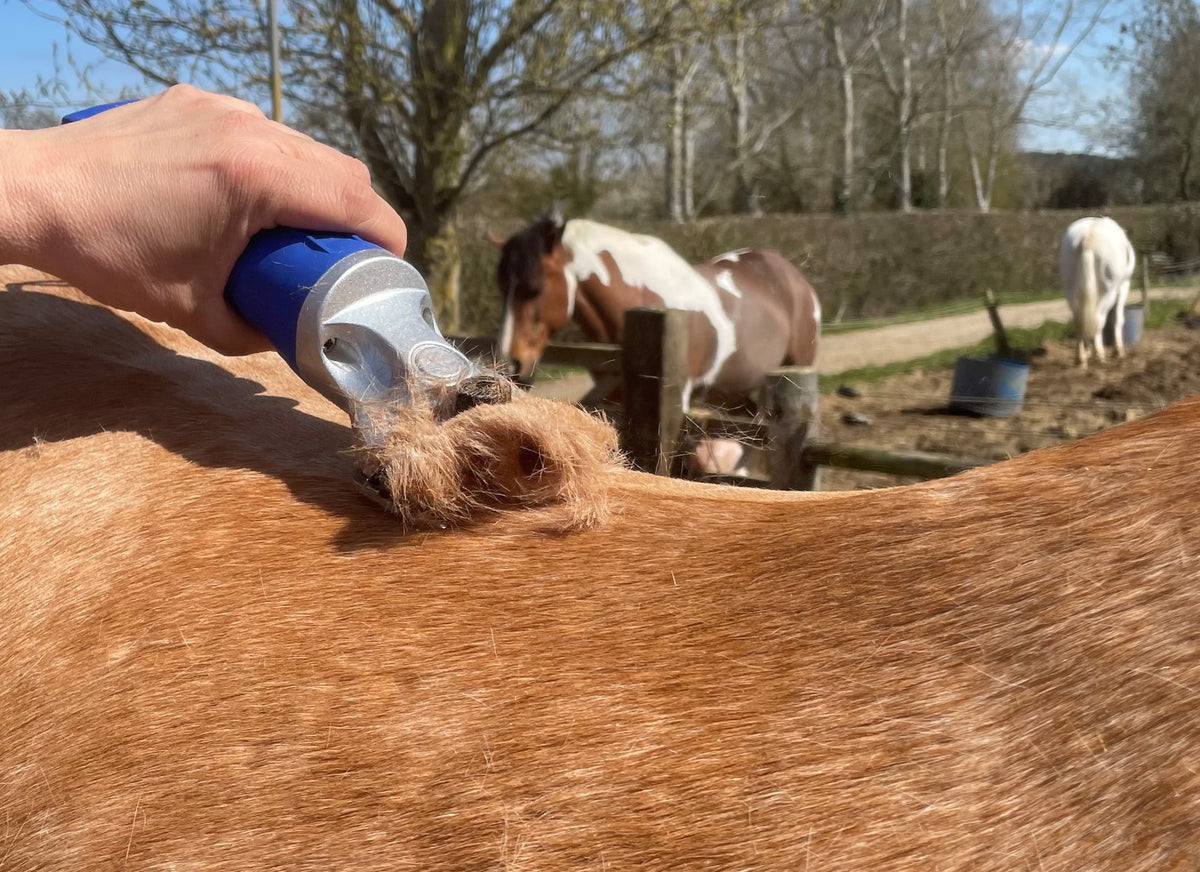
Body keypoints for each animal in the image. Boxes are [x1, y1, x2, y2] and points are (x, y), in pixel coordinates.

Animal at [1059, 216, 1137, 367]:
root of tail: (1088, 237)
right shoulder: (1124, 285)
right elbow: (1117, 318)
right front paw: (1118, 351)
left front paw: (1088, 350)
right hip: (1108, 293)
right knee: (1099, 319)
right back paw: (1099, 354)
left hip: (1070, 291)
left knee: (1079, 320)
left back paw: (1081, 357)